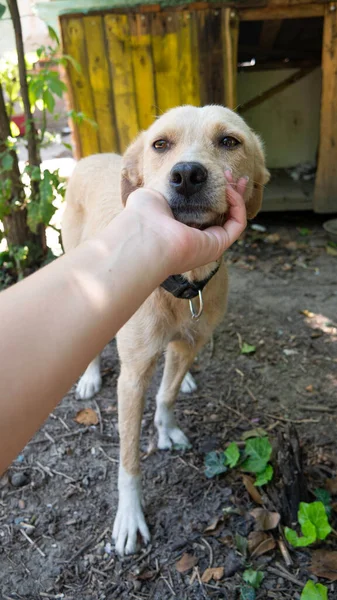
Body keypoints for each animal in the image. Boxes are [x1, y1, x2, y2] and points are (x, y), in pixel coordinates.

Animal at [61, 105, 270, 556]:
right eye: (161, 144)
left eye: (229, 141)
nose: (188, 174)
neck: (181, 282)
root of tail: (91, 156)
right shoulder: (132, 377)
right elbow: (129, 460)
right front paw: (129, 517)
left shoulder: (190, 344)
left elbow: (168, 394)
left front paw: (167, 425)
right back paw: (88, 377)